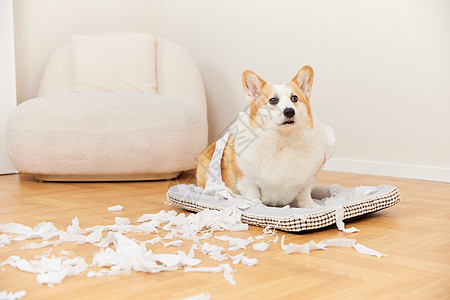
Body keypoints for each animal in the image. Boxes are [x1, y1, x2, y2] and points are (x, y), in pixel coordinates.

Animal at [197, 65, 330, 207]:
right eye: (273, 100)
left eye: (294, 98)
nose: (289, 111)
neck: (283, 139)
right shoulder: (247, 179)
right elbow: (253, 193)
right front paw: (255, 205)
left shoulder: (308, 180)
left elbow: (305, 194)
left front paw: (310, 206)